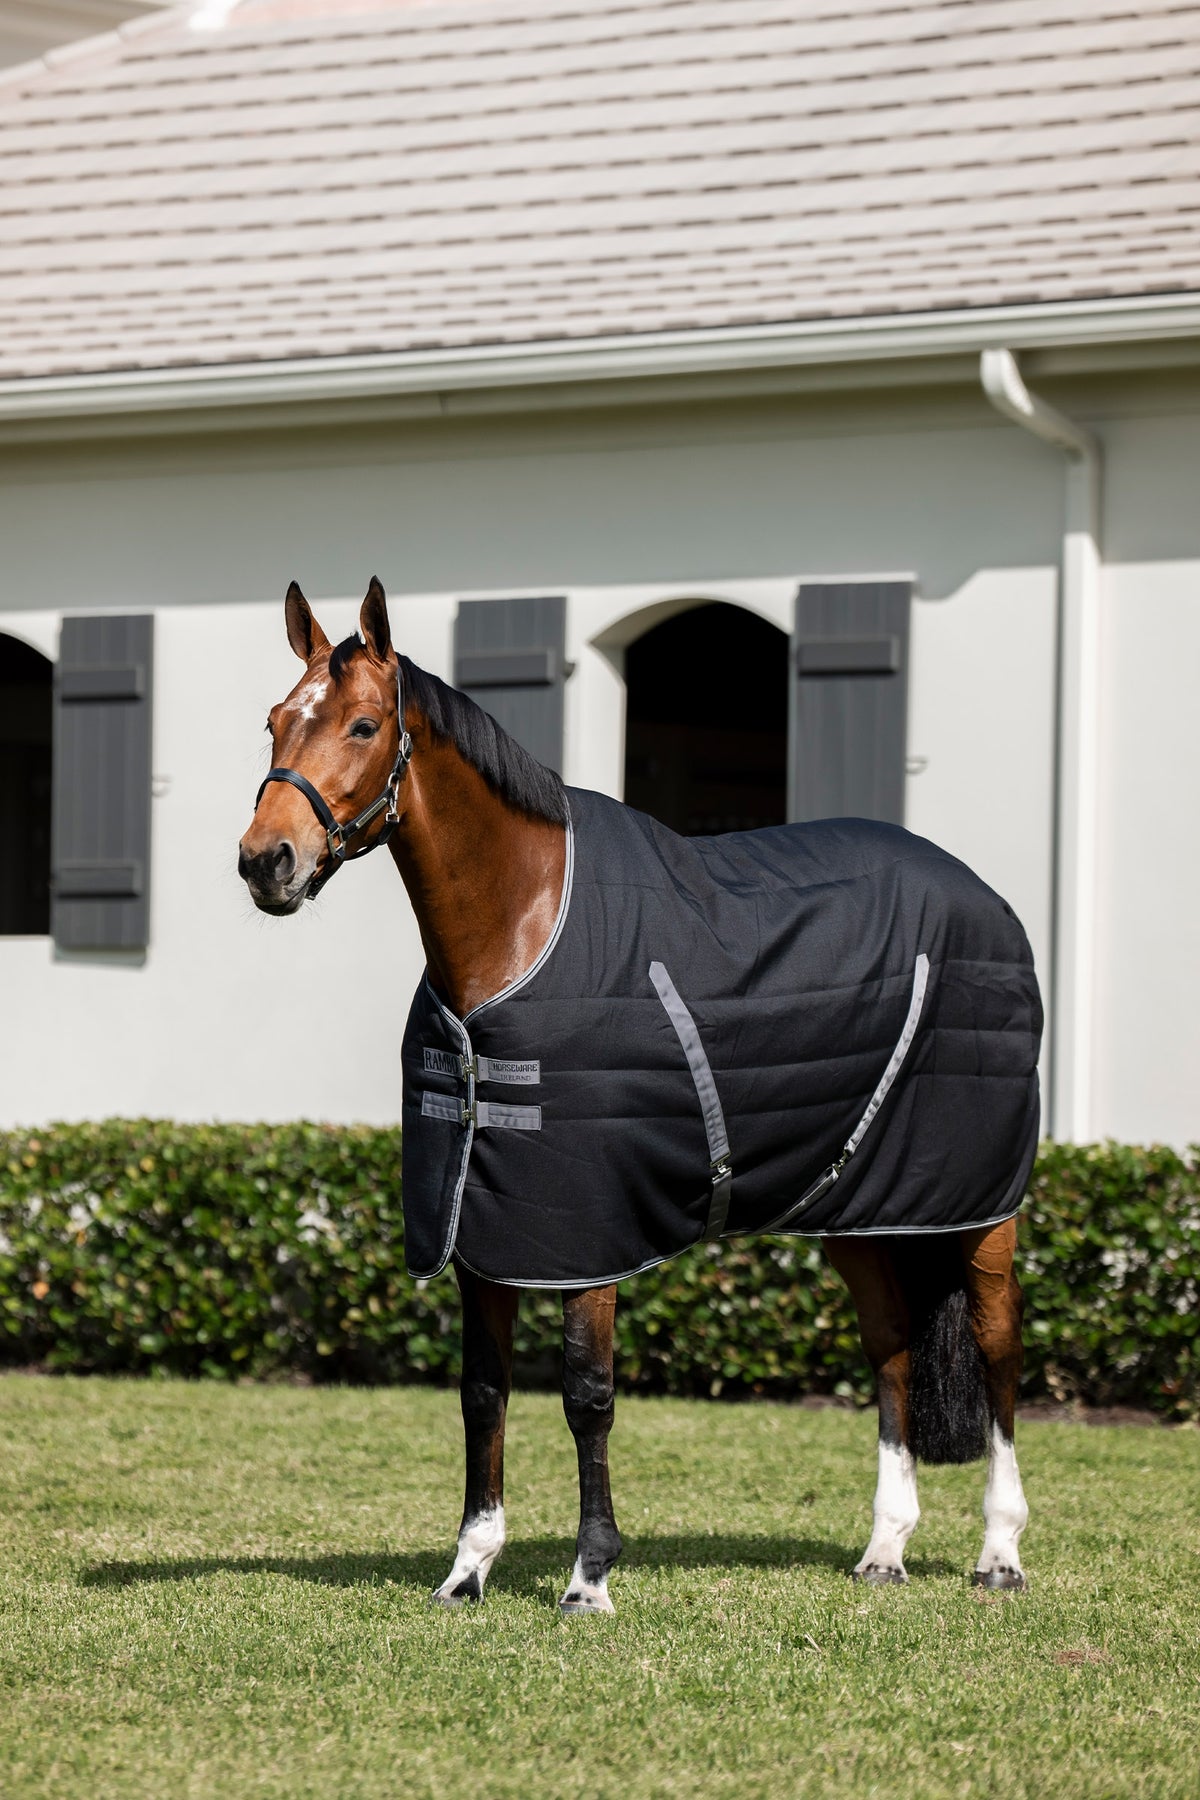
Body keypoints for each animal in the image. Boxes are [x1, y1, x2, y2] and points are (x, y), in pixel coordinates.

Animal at [238, 577, 1037, 1611]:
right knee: (894, 1344)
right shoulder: (481, 1229)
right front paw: (469, 1567)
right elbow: (483, 1393)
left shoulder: (586, 1234)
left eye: (365, 725)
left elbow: (587, 1396)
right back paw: (886, 1548)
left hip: (982, 1207)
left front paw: (589, 1576)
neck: (521, 927)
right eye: (273, 722)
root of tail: (986, 897)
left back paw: (1000, 1552)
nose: (267, 861)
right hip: (861, 1207)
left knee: (998, 1349)